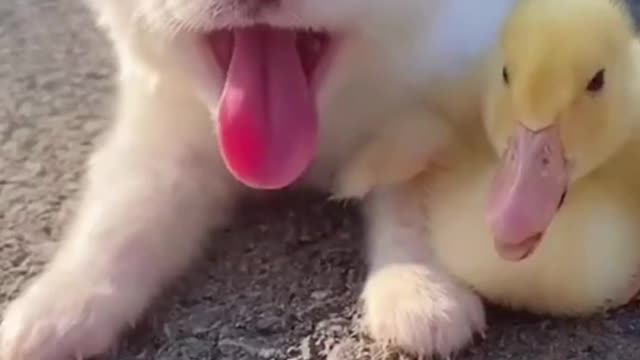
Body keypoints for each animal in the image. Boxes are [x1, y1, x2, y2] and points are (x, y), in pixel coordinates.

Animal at [0, 1, 520, 358]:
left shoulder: (435, 101)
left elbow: (416, 196)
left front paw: (420, 286)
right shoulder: (164, 140)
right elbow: (121, 221)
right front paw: (59, 304)